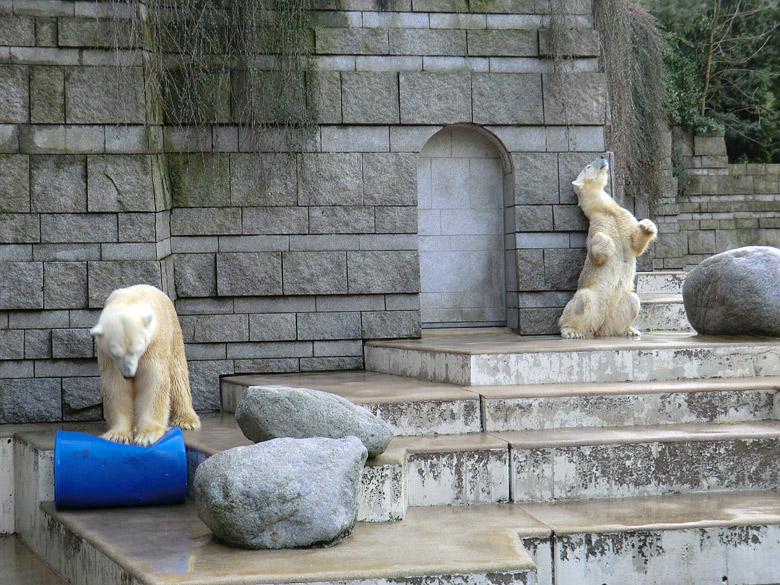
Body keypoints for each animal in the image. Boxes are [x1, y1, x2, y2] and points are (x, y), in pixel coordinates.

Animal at [89, 282, 200, 442]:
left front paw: (147, 436)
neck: (129, 301)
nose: (129, 375)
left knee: (178, 375)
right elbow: (115, 384)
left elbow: (152, 380)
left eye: (137, 349)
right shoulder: (107, 357)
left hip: (173, 331)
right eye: (116, 353)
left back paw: (186, 420)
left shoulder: (154, 342)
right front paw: (119, 435)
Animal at [556, 155, 660, 338]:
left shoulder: (623, 217)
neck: (606, 211)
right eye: (588, 166)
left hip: (616, 310)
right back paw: (572, 331)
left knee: (632, 301)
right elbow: (595, 253)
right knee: (583, 299)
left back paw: (629, 330)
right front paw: (607, 243)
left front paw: (647, 226)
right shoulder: (596, 225)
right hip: (592, 302)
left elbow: (636, 244)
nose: (602, 156)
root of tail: (597, 327)